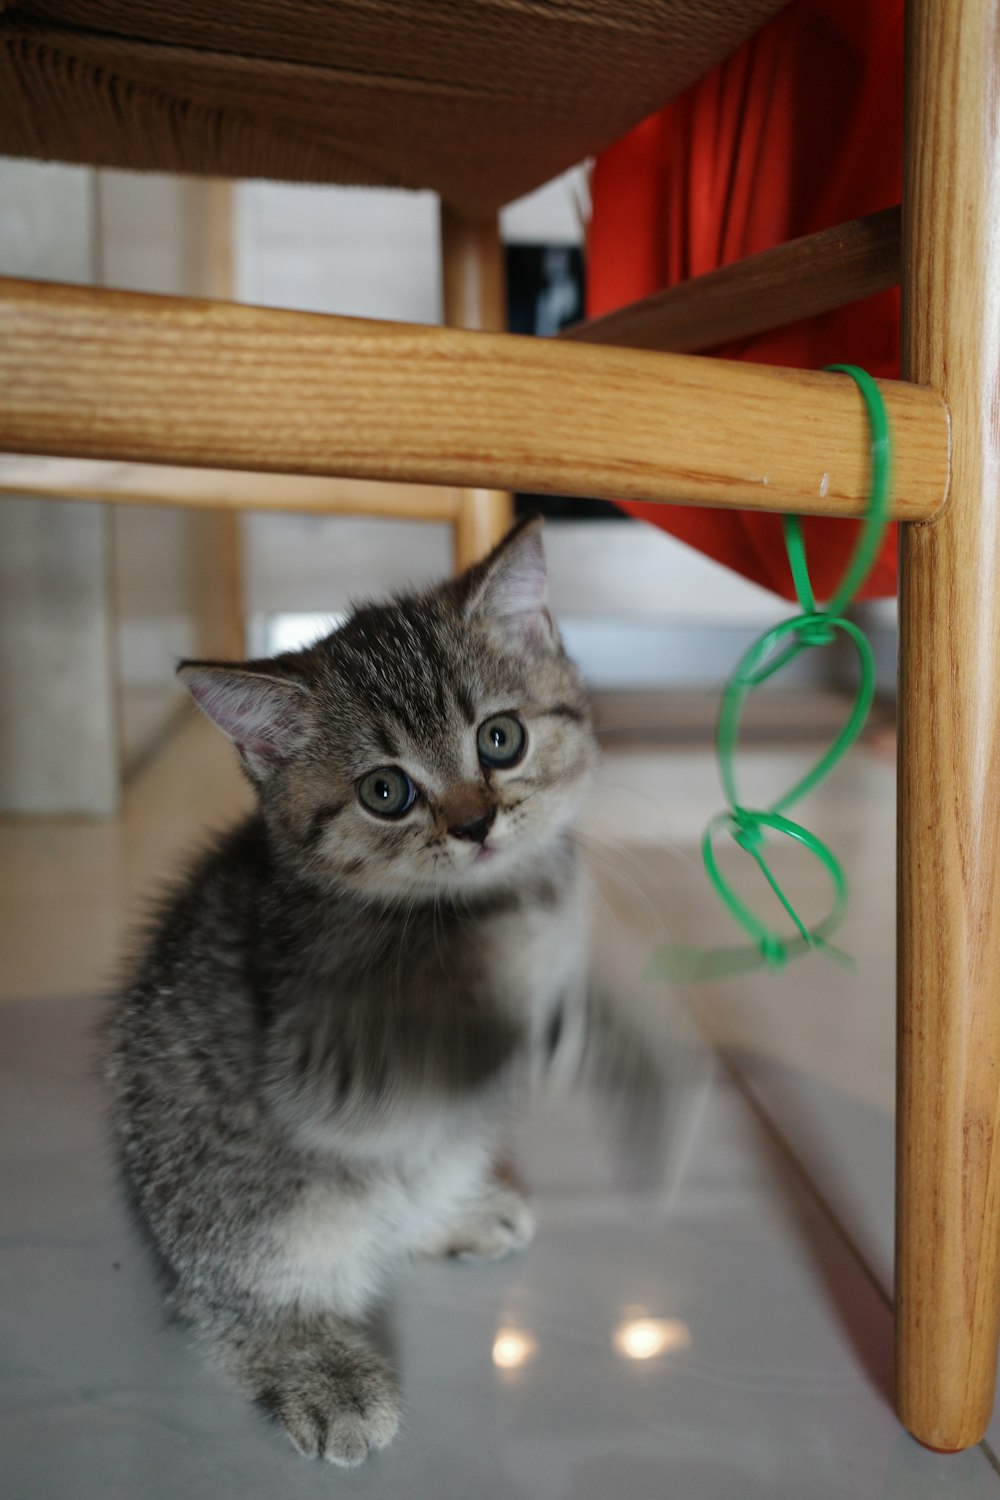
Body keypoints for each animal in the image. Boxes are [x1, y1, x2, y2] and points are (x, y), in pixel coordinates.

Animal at [105, 519, 599, 1464]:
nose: (476, 823)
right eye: (385, 792)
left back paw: (448, 1214)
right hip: (245, 1199)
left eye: (501, 739)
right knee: (224, 1302)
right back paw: (320, 1367)